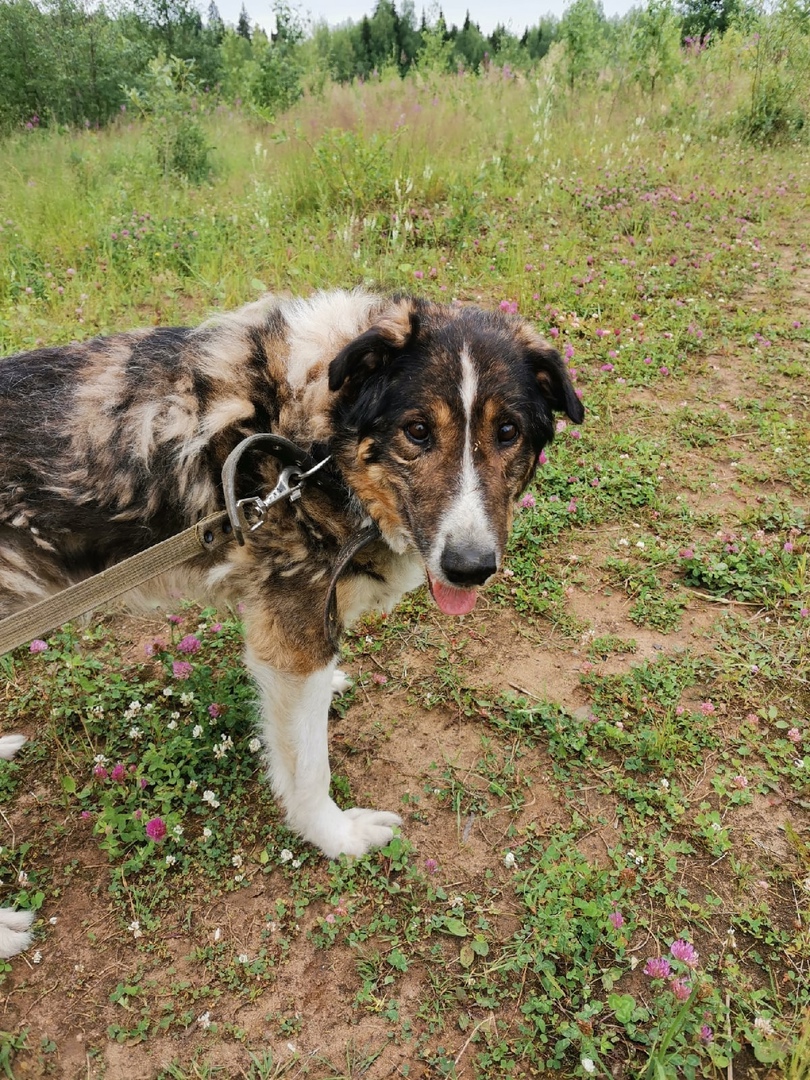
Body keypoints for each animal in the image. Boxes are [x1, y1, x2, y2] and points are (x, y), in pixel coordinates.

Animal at [0, 289, 583, 954]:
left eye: (507, 432)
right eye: (416, 431)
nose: (470, 568)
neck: (314, 444)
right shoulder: (291, 632)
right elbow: (308, 770)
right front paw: (337, 838)